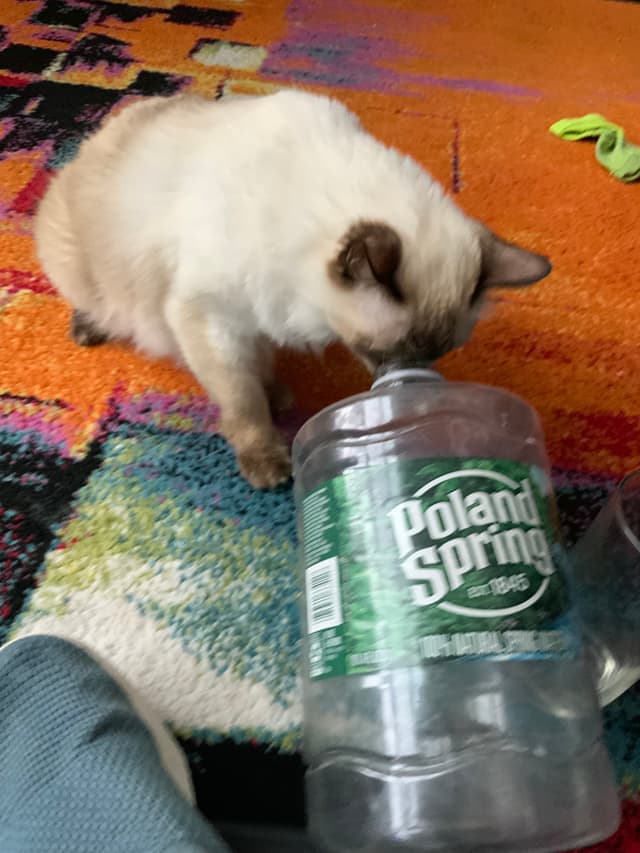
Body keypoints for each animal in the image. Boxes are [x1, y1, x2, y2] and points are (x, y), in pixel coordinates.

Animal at [33, 90, 552, 490]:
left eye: (436, 354)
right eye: (384, 352)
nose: (409, 381)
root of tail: (97, 135)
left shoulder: (254, 317)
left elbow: (261, 370)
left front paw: (278, 393)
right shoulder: (210, 317)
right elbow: (243, 399)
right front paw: (267, 459)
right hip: (80, 268)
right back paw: (88, 327)